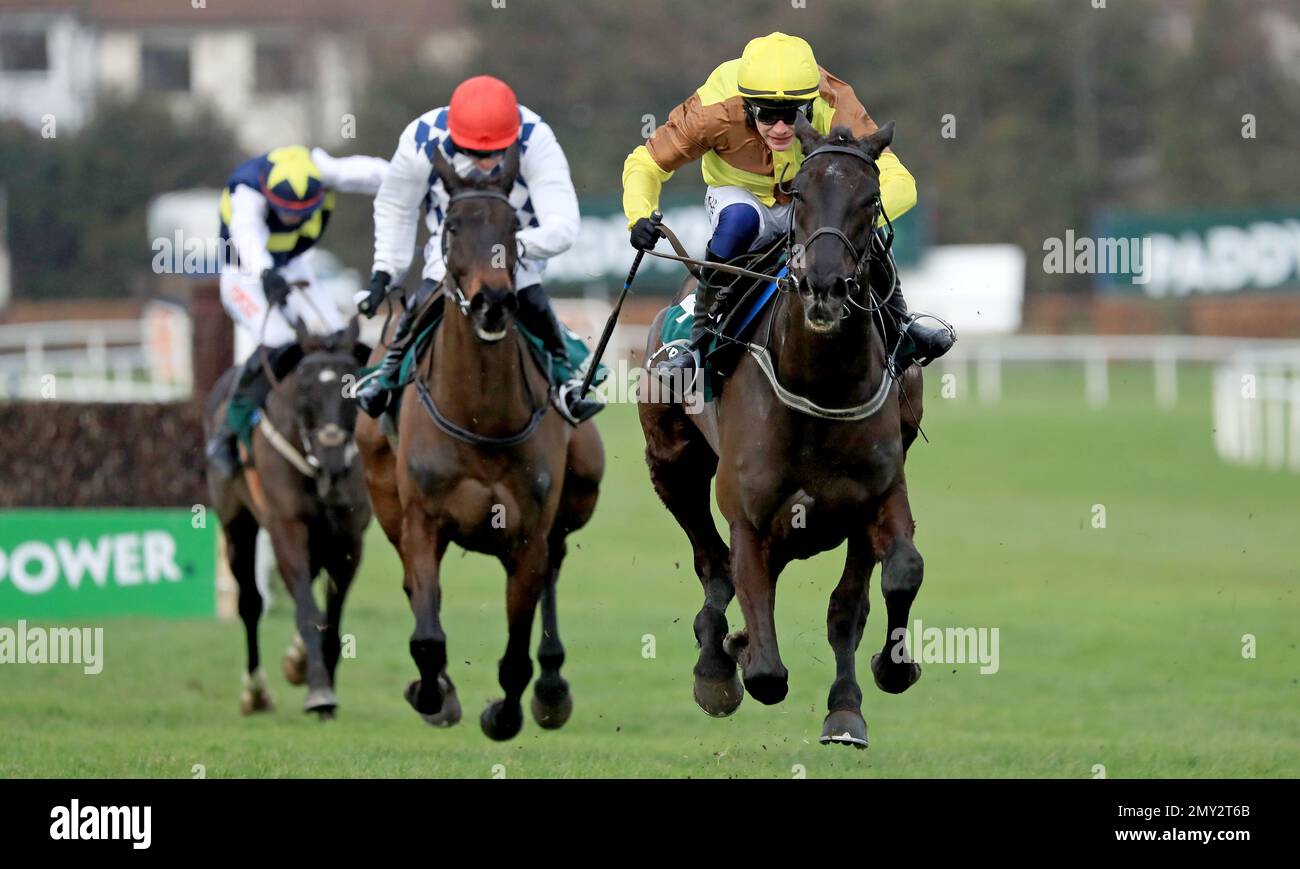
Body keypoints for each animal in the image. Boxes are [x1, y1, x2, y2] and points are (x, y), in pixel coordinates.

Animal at [205, 316, 374, 718]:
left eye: (352, 387)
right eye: (305, 390)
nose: (333, 462)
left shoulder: (349, 538)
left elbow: (332, 617)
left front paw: (316, 676)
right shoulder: (287, 526)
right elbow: (308, 612)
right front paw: (319, 691)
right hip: (238, 525)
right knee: (250, 603)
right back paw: (256, 691)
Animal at [353, 145, 600, 744]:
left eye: (513, 227)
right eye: (453, 225)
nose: (493, 301)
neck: (482, 416)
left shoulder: (528, 533)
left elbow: (515, 656)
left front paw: (504, 713)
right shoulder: (421, 520)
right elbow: (426, 633)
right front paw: (432, 694)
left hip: (579, 492)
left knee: (555, 568)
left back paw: (552, 688)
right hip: (387, 503)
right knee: (415, 587)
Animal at [639, 120, 925, 749]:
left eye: (870, 200)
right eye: (800, 195)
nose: (824, 285)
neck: (820, 389)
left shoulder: (879, 495)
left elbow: (891, 580)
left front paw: (874, 683)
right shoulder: (749, 517)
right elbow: (766, 666)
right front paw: (734, 658)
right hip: (671, 464)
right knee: (712, 564)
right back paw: (717, 664)